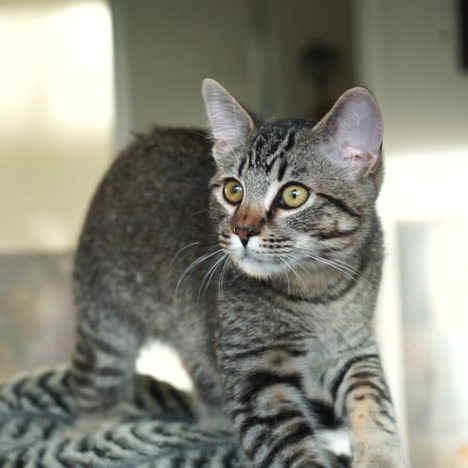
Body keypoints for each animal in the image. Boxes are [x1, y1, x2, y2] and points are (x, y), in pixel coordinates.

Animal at [68, 78, 406, 466]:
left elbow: (373, 399)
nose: (242, 231)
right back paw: (86, 430)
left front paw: (380, 454)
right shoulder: (254, 374)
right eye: (233, 190)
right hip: (106, 331)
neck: (319, 292)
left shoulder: (353, 348)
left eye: (293, 195)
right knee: (89, 391)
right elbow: (289, 447)